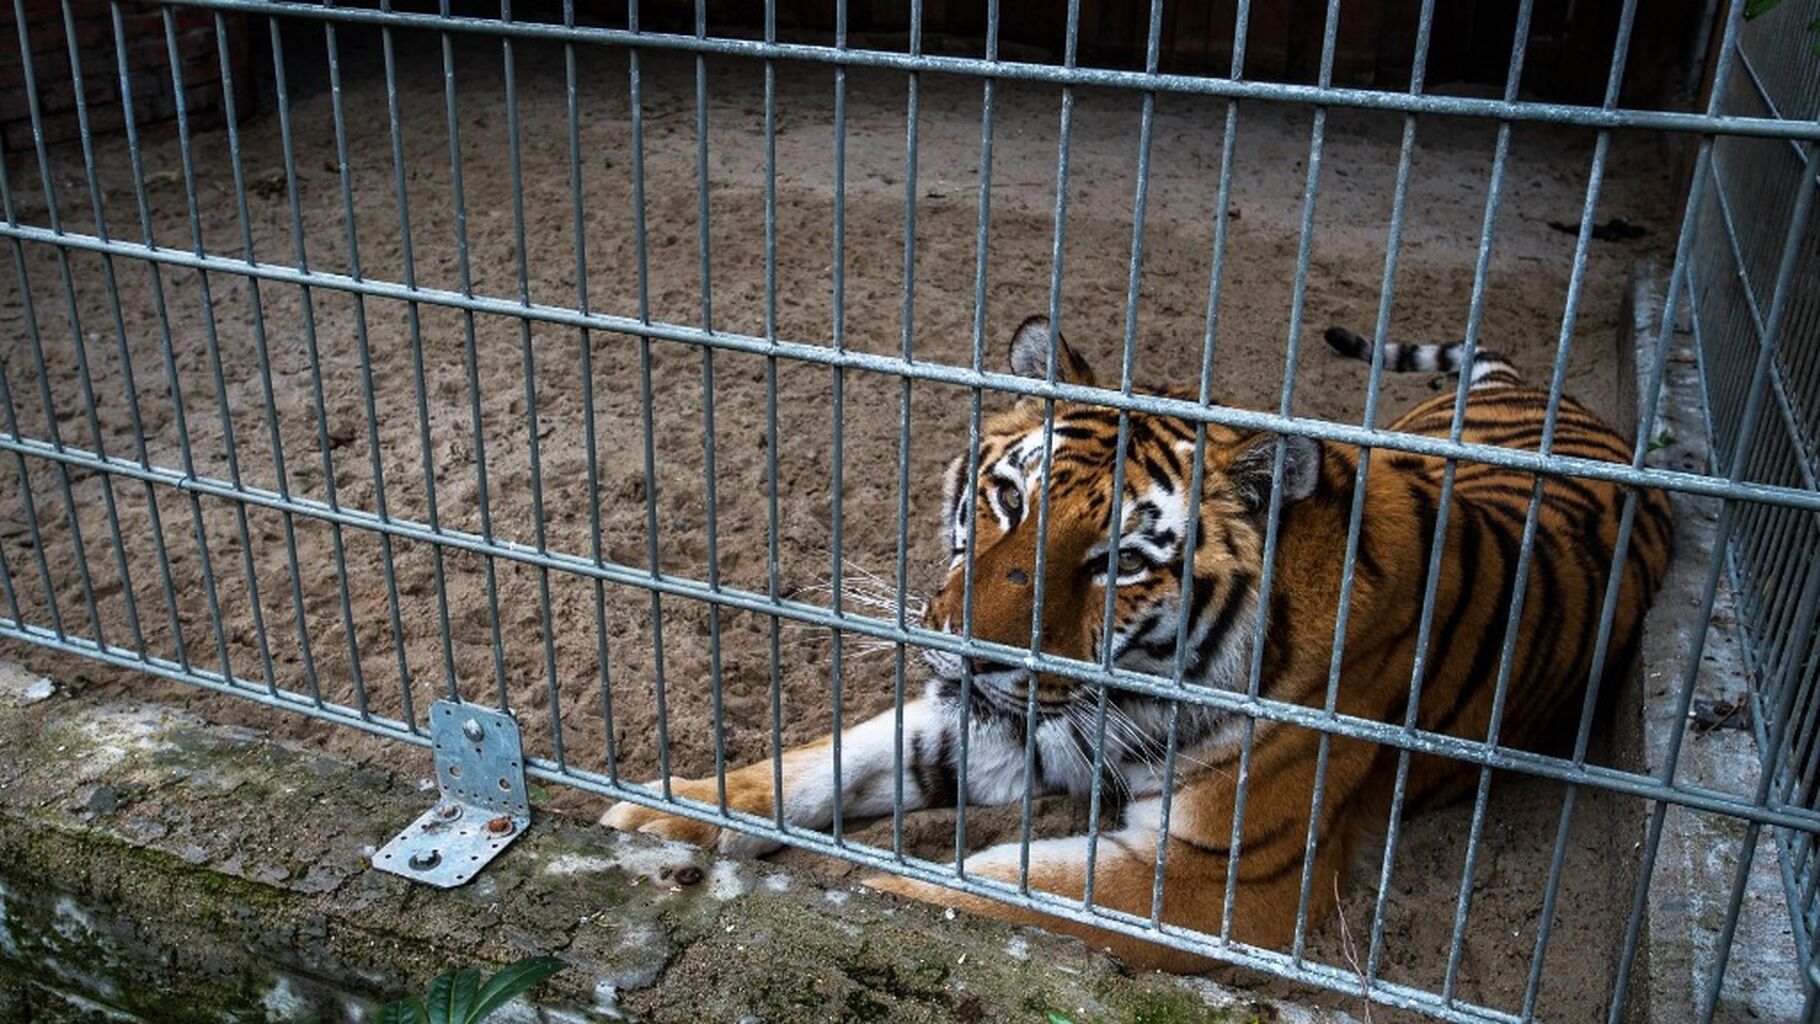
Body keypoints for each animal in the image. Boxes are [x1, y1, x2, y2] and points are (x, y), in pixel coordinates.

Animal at [603, 314, 1673, 971]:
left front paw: (868, 892)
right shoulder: (992, 729)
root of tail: (1562, 405)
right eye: (1007, 499)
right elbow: (814, 766)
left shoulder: (1224, 876)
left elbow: (987, 889)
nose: (969, 654)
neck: (1136, 685)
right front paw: (660, 813)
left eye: (1117, 562)